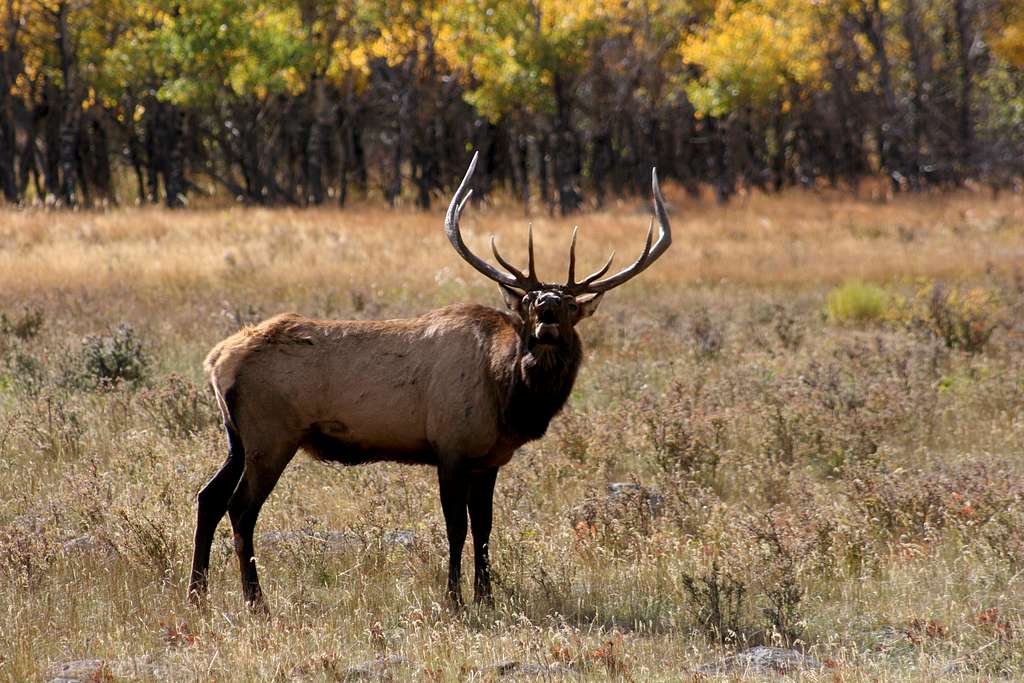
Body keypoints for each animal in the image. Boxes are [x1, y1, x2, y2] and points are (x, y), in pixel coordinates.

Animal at [188, 153, 671, 610]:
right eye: (530, 301)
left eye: (571, 306)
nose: (548, 307)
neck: (509, 398)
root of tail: (216, 360)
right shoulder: (450, 446)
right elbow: (456, 527)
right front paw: (454, 599)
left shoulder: (489, 459)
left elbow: (485, 527)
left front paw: (486, 597)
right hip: (271, 435)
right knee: (240, 508)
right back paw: (256, 601)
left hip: (238, 438)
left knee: (208, 497)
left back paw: (198, 594)